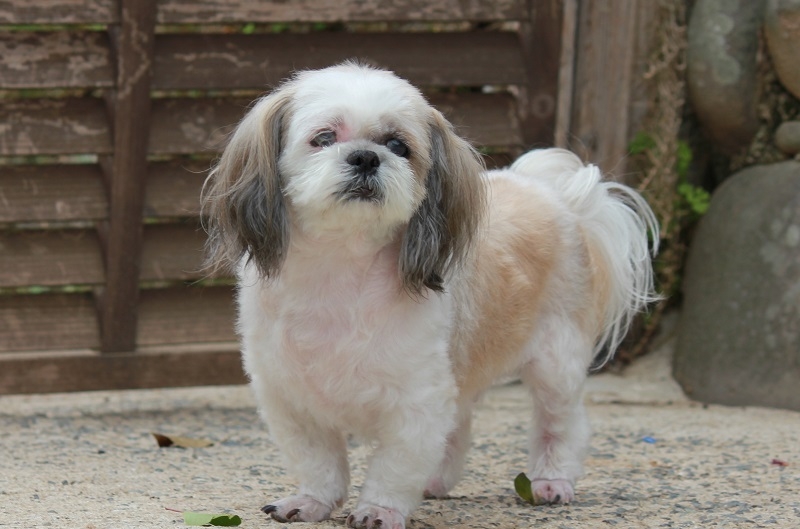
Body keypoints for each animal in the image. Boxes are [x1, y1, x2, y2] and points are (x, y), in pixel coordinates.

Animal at [201, 62, 659, 529]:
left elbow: (396, 463)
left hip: (556, 359)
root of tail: (554, 195)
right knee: (458, 427)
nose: (366, 156)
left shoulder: (416, 401)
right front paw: (312, 501)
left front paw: (380, 510)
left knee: (561, 423)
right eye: (324, 137)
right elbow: (318, 459)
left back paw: (552, 481)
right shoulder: (291, 396)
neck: (339, 271)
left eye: (398, 146)